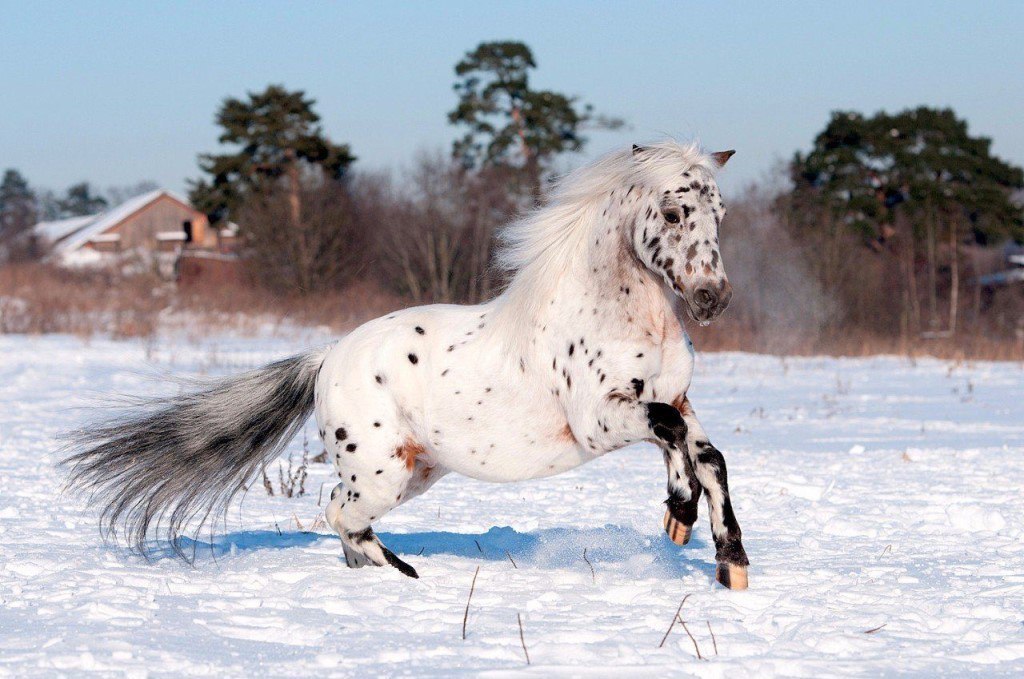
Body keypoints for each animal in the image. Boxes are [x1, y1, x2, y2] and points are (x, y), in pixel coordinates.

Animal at [66, 142, 753, 589]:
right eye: (673, 212)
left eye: (720, 214)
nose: (711, 299)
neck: (625, 318)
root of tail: (326, 357)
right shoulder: (599, 421)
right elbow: (672, 435)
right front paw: (683, 517)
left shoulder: (675, 399)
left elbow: (705, 453)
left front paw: (719, 553)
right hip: (381, 473)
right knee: (339, 514)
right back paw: (402, 573)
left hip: (414, 471)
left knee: (341, 517)